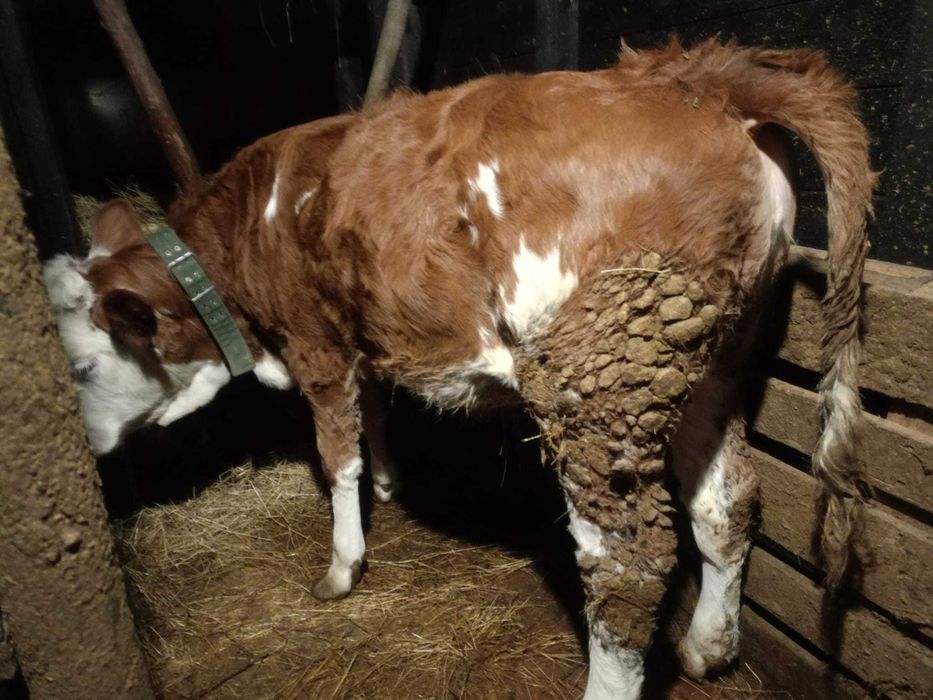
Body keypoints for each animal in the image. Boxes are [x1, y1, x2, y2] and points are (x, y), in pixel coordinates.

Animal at [44, 40, 875, 699]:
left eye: (81, 366)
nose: (85, 450)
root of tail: (694, 74)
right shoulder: (363, 333)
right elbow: (375, 413)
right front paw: (388, 482)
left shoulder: (316, 340)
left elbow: (334, 457)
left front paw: (342, 566)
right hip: (706, 359)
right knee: (726, 500)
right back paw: (708, 646)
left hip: (599, 377)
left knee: (626, 562)